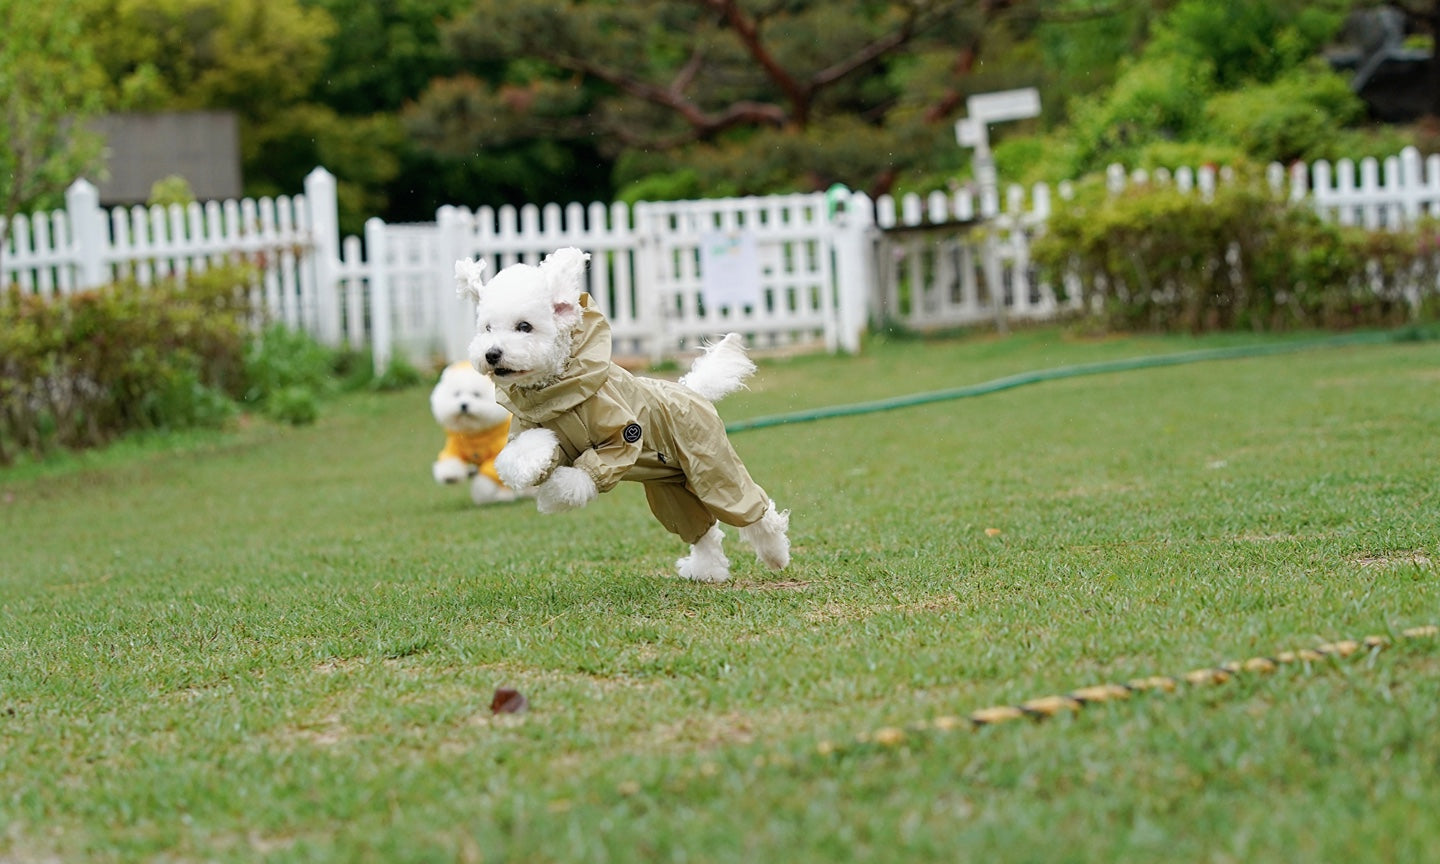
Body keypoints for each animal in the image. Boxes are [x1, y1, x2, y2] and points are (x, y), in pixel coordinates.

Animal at [426, 360, 518, 506]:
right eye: (457, 394)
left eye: (476, 394)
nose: (464, 405)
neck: (474, 435)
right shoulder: (454, 448)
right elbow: (450, 460)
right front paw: (449, 476)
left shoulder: (497, 453)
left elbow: (488, 476)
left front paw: (482, 490)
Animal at [457, 246, 789, 584]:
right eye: (487, 328)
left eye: (524, 326)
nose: (492, 354)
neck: (561, 392)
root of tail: (693, 390)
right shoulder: (530, 431)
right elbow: (524, 453)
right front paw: (532, 471)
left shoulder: (623, 436)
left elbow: (583, 474)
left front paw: (553, 493)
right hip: (671, 488)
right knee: (701, 529)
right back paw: (706, 570)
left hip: (712, 466)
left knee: (750, 509)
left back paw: (775, 553)